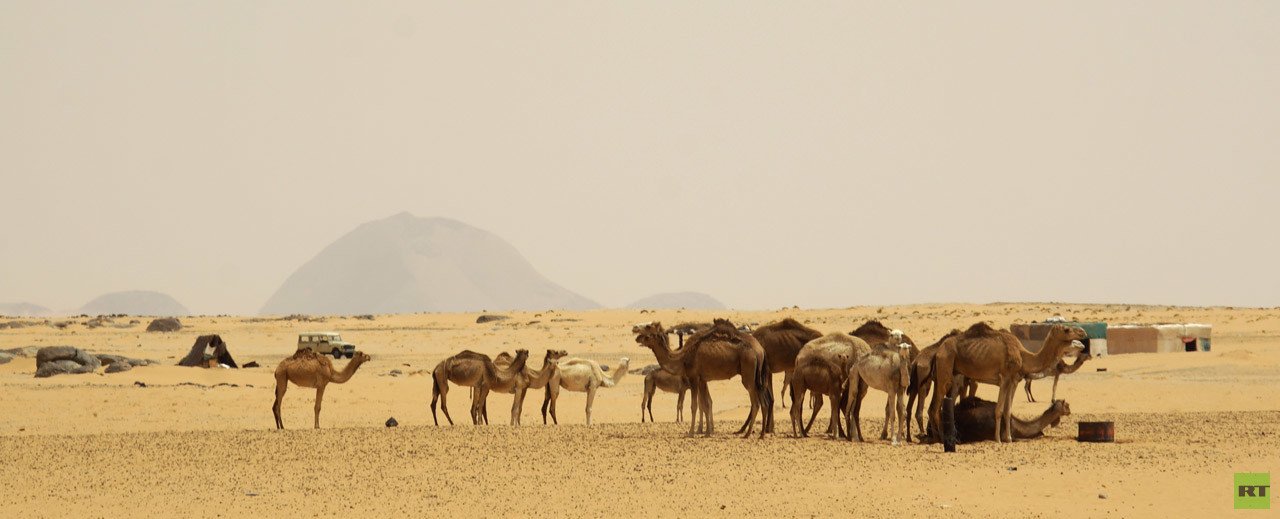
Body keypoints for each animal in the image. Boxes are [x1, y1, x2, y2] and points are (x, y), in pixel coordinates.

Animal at [632, 319, 768, 435]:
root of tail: (759, 351)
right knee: (762, 399)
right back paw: (760, 433)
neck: (682, 358)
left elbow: (695, 406)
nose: (637, 336)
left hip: (748, 372)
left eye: (648, 328)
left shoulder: (694, 378)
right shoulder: (702, 379)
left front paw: (692, 432)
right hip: (757, 376)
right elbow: (706, 404)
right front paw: (707, 432)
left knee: (755, 402)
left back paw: (748, 433)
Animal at [926, 322, 1085, 440]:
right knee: (936, 407)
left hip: (946, 371)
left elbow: (1008, 410)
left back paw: (937, 437)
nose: (1082, 332)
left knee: (935, 406)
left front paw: (1008, 438)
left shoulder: (1013, 381)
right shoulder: (1004, 378)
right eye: (1067, 329)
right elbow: (998, 409)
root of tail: (938, 350)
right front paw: (998, 439)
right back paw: (941, 439)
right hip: (946, 363)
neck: (1023, 355)